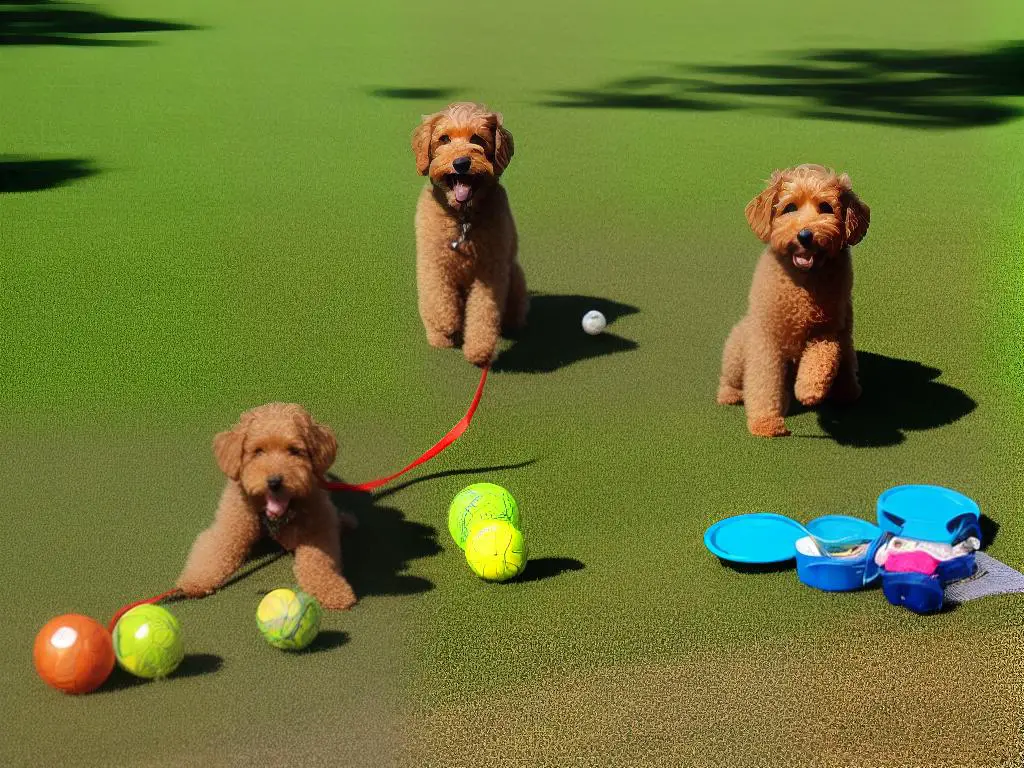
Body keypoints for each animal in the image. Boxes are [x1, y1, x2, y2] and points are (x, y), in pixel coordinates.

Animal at [179, 405, 360, 610]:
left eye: (294, 450)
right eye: (258, 451)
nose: (274, 482)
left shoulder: (317, 527)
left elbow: (319, 560)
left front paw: (334, 591)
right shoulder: (231, 525)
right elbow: (214, 551)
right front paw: (195, 581)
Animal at [409, 101, 528, 366]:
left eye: (477, 139)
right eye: (444, 139)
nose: (461, 163)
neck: (462, 218)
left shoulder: (490, 270)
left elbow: (484, 312)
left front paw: (479, 349)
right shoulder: (433, 261)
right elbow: (438, 297)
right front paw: (446, 323)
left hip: (515, 277)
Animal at [716, 162, 868, 438]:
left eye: (826, 207)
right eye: (789, 207)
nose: (805, 235)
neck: (803, 285)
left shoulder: (829, 329)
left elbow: (821, 357)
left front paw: (809, 389)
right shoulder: (766, 339)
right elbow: (764, 382)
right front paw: (766, 423)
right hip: (738, 346)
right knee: (731, 378)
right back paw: (729, 395)